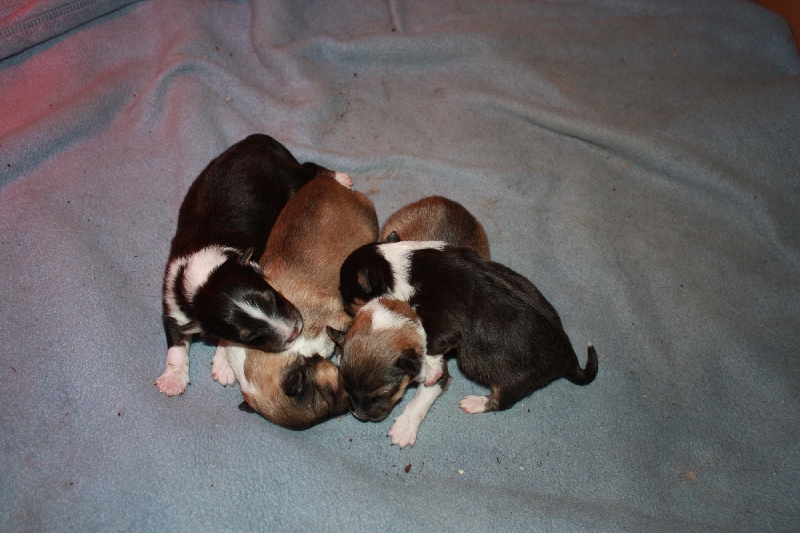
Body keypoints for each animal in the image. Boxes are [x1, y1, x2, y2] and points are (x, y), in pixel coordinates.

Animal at [159, 134, 350, 394]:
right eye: (248, 336)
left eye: (271, 297)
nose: (294, 331)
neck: (204, 278)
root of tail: (257, 139)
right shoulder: (173, 300)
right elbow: (176, 342)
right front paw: (173, 378)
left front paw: (224, 365)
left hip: (289, 178)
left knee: (309, 168)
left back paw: (339, 177)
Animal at [328, 243, 596, 446]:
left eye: (349, 297)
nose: (358, 415)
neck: (396, 267)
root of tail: (569, 357)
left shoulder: (441, 323)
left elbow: (432, 350)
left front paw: (431, 375)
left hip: (516, 382)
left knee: (502, 401)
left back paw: (475, 402)